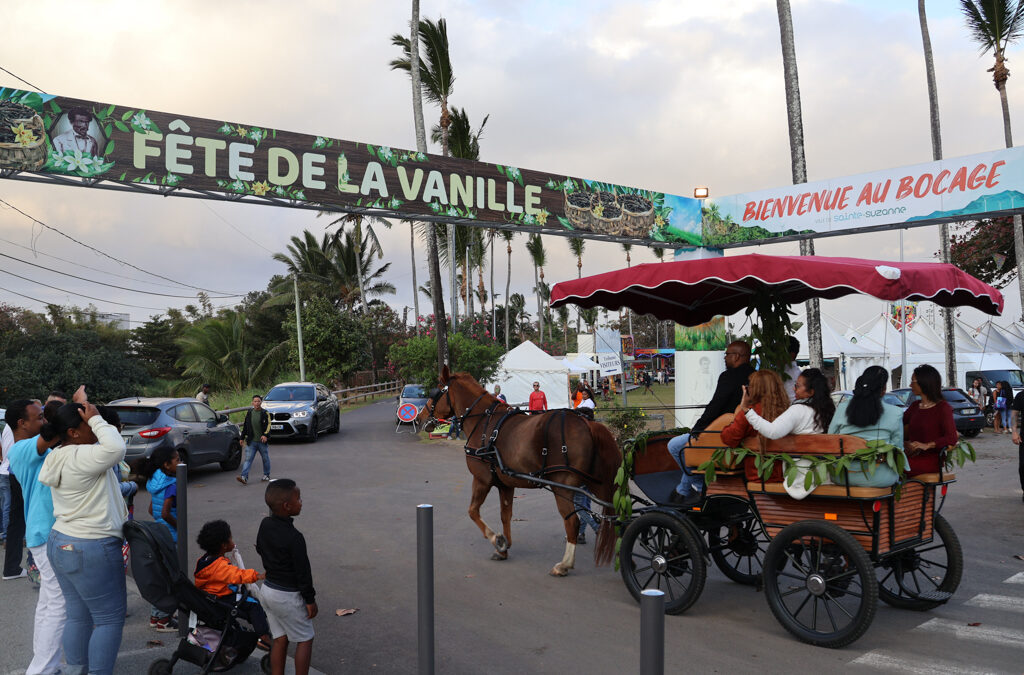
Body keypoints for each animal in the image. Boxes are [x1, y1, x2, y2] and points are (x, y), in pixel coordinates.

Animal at [419, 368, 618, 577]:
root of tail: (588, 424)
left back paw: (564, 564)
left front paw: (497, 540)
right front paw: (504, 548)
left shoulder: (482, 479)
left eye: (435, 392)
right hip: (597, 484)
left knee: (572, 522)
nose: (419, 417)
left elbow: (473, 511)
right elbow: (505, 515)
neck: (484, 423)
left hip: (563, 487)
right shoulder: (505, 484)